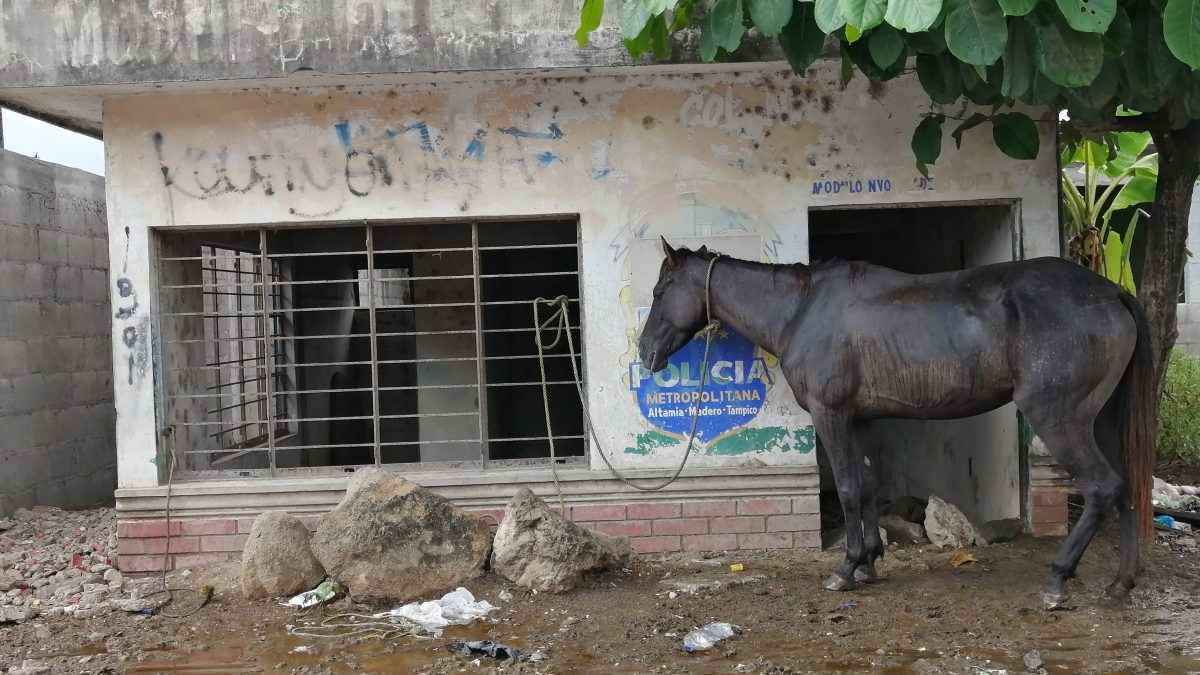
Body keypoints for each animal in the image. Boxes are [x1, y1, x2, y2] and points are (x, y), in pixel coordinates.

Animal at [637, 238, 1154, 610]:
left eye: (661, 292)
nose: (645, 353)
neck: (801, 310)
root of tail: (1111, 292)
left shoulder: (830, 416)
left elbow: (848, 488)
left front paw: (846, 569)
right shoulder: (859, 420)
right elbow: (867, 486)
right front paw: (869, 561)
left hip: (1059, 419)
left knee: (1102, 488)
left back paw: (1057, 578)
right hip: (1101, 423)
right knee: (1125, 487)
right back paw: (1120, 584)